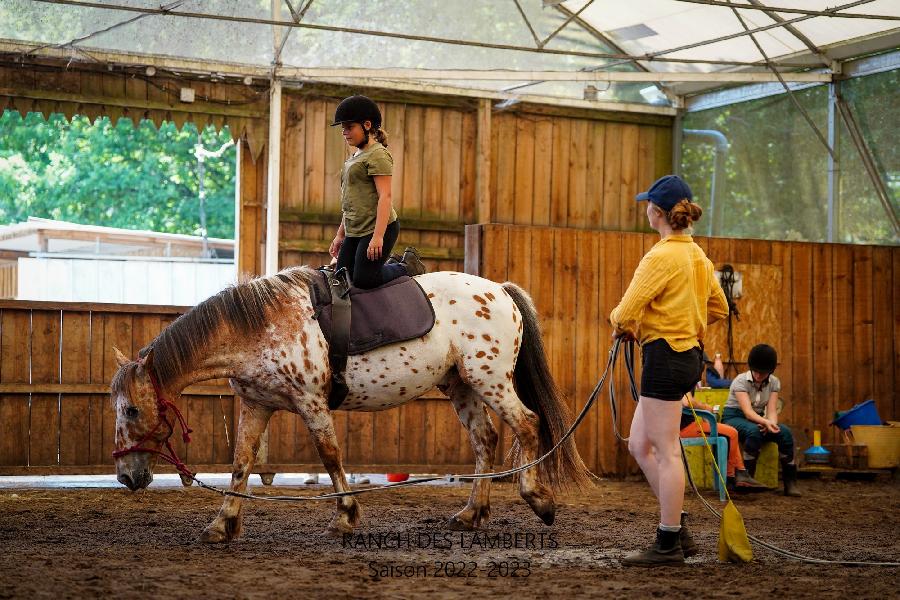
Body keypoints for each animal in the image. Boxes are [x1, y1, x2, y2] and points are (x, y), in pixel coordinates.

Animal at [112, 270, 588, 540]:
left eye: (131, 410)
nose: (126, 476)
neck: (260, 328)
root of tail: (500, 291)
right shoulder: (255, 406)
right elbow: (242, 463)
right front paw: (223, 523)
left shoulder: (310, 403)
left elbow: (330, 456)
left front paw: (345, 516)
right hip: (462, 385)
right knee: (485, 440)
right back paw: (471, 513)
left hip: (491, 380)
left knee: (527, 425)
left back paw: (537, 500)